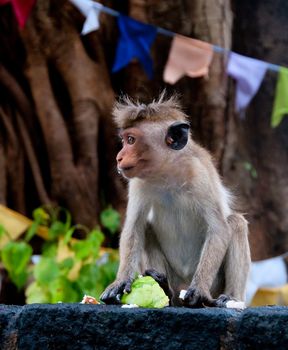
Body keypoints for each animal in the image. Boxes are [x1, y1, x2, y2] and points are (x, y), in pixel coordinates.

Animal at [100, 94, 250, 308]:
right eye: (125, 140)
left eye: (131, 140)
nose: (118, 157)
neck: (167, 173)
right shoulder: (138, 183)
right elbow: (134, 228)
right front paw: (120, 282)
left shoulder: (199, 175)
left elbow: (219, 228)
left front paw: (199, 290)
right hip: (175, 280)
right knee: (147, 228)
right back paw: (164, 288)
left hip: (215, 284)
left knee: (235, 223)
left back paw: (231, 298)